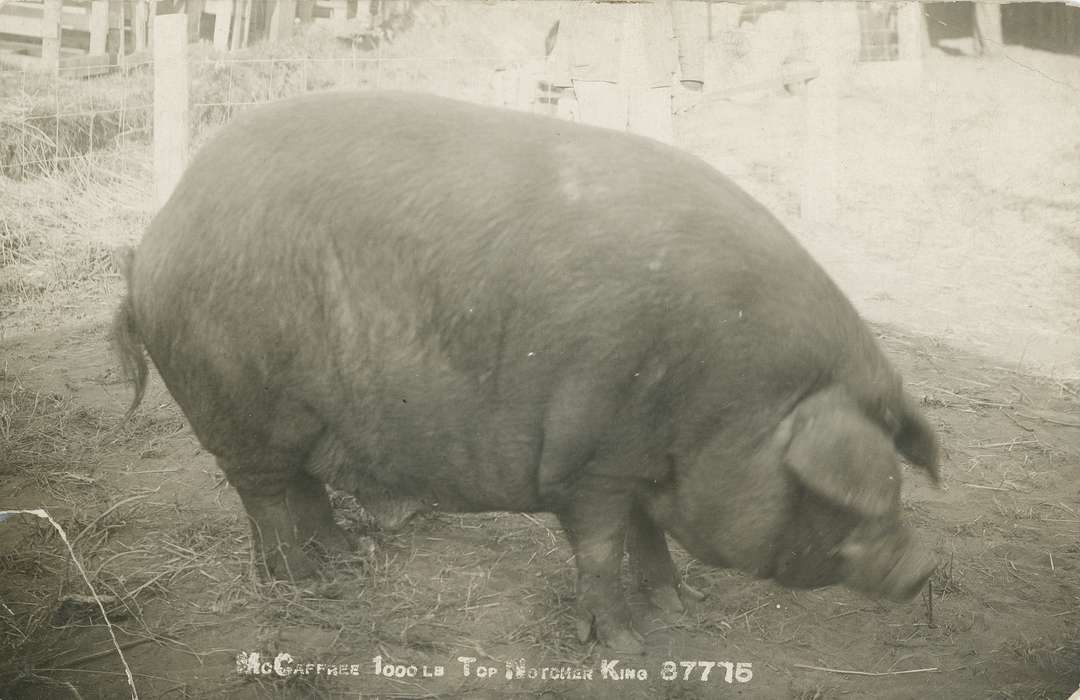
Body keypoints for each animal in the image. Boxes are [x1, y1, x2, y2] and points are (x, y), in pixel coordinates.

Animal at [109, 90, 937, 652]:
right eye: (847, 496)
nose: (923, 566)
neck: (723, 401)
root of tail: (155, 237)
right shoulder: (591, 461)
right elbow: (601, 548)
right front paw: (625, 646)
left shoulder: (636, 459)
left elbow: (649, 539)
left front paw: (683, 611)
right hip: (239, 407)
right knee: (269, 499)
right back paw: (314, 583)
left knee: (299, 495)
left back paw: (346, 564)